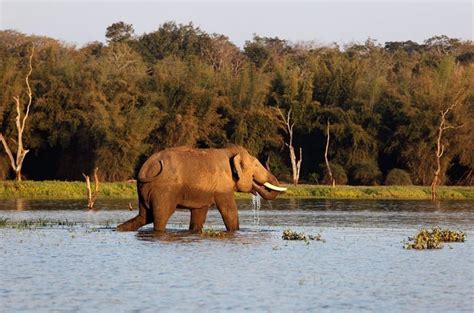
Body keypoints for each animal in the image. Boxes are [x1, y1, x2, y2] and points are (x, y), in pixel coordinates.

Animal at [116, 144, 286, 232]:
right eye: (256, 165)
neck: (229, 151)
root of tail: (145, 169)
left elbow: (199, 214)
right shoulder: (222, 185)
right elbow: (229, 210)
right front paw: (235, 231)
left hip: (144, 190)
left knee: (144, 216)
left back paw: (119, 229)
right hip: (163, 191)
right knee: (160, 217)